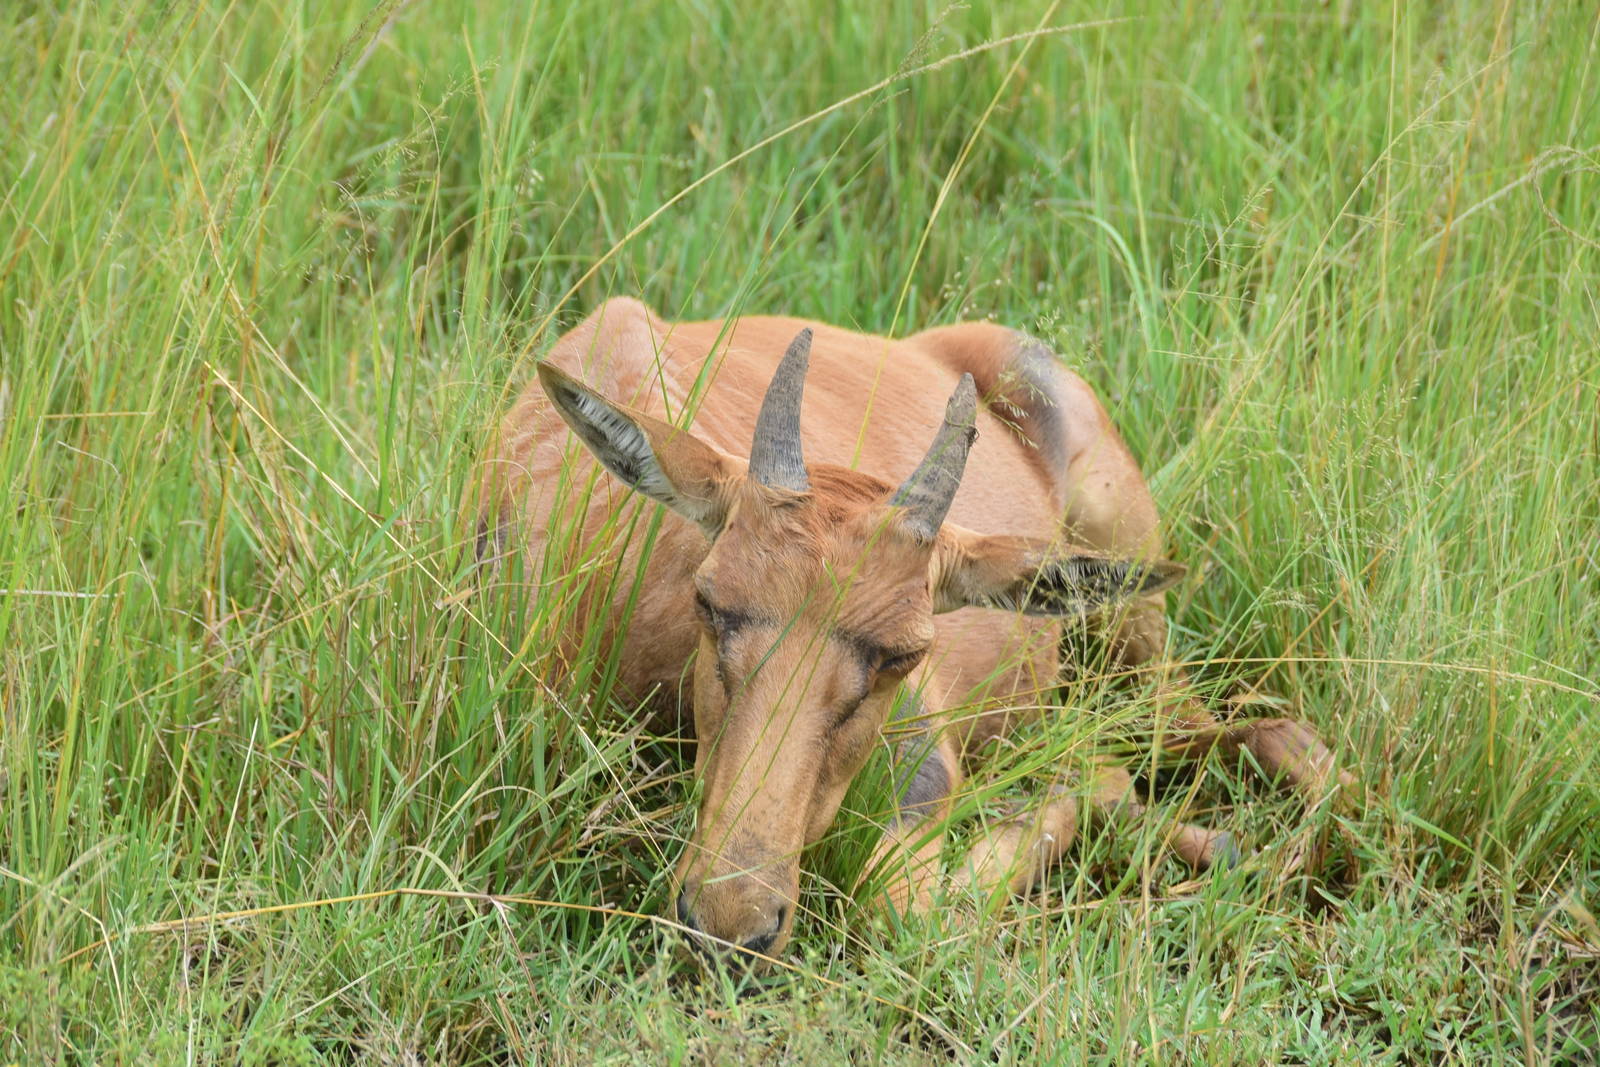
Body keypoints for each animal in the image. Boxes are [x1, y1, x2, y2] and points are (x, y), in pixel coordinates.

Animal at [477, 297, 1351, 963]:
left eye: (902, 651)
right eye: (711, 600)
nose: (731, 924)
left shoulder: (922, 759)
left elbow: (907, 908)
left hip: (1138, 635)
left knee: (1264, 734)